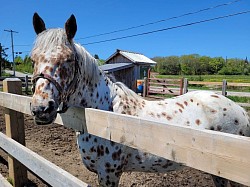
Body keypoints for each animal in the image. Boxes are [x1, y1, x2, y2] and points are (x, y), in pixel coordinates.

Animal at [30, 12, 249, 186]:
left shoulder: (109, 174)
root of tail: (241, 111)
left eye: (68, 59)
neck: (102, 113)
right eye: (33, 59)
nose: (41, 108)